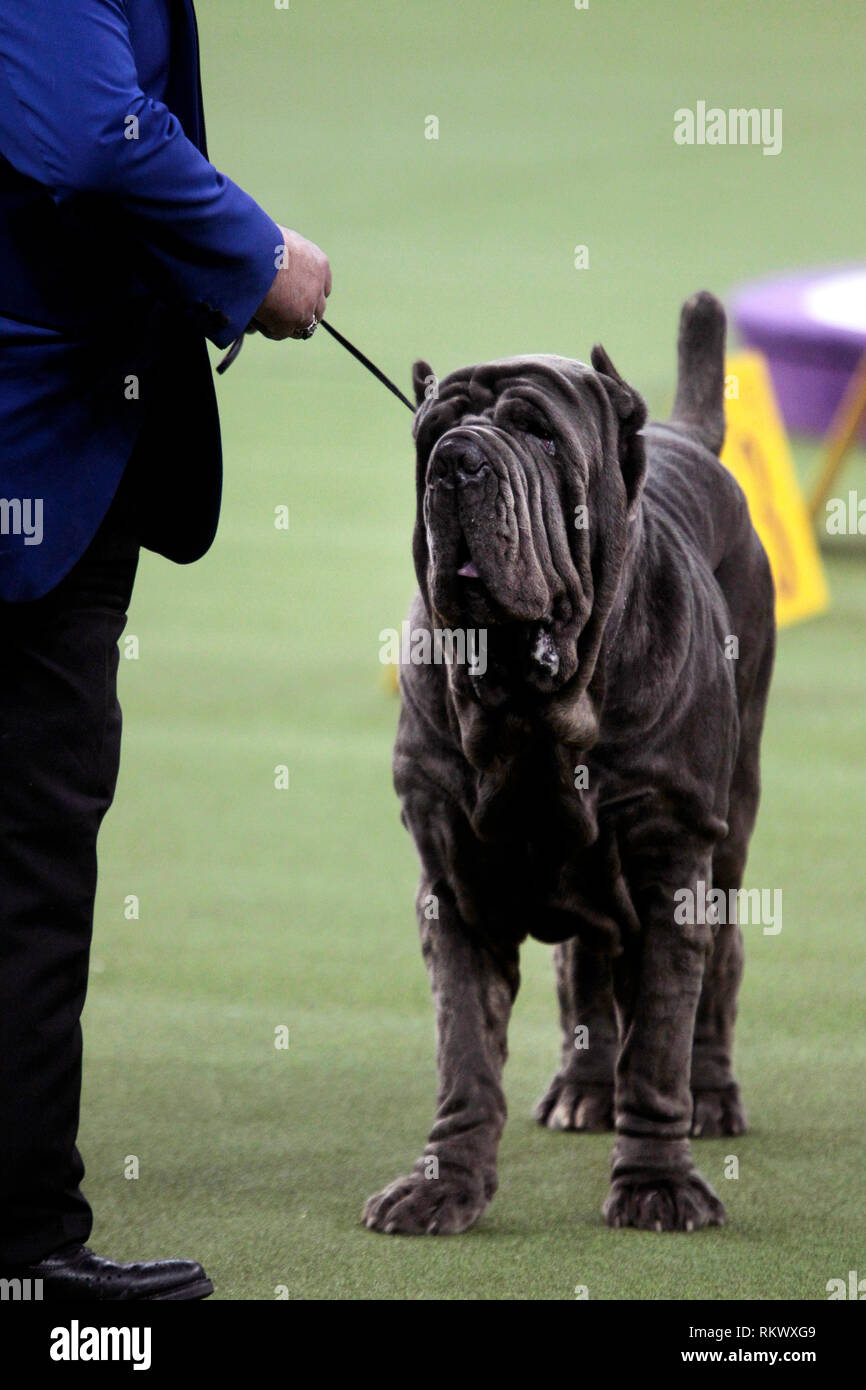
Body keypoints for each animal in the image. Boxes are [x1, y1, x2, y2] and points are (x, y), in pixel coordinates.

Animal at [361, 296, 778, 1239]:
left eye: (540, 435)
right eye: (430, 433)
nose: (458, 462)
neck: (533, 708)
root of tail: (684, 435)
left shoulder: (670, 868)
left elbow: (658, 1041)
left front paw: (658, 1182)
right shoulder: (455, 887)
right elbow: (465, 1054)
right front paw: (443, 1183)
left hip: (730, 829)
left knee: (722, 962)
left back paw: (713, 1093)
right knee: (585, 962)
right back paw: (585, 1089)